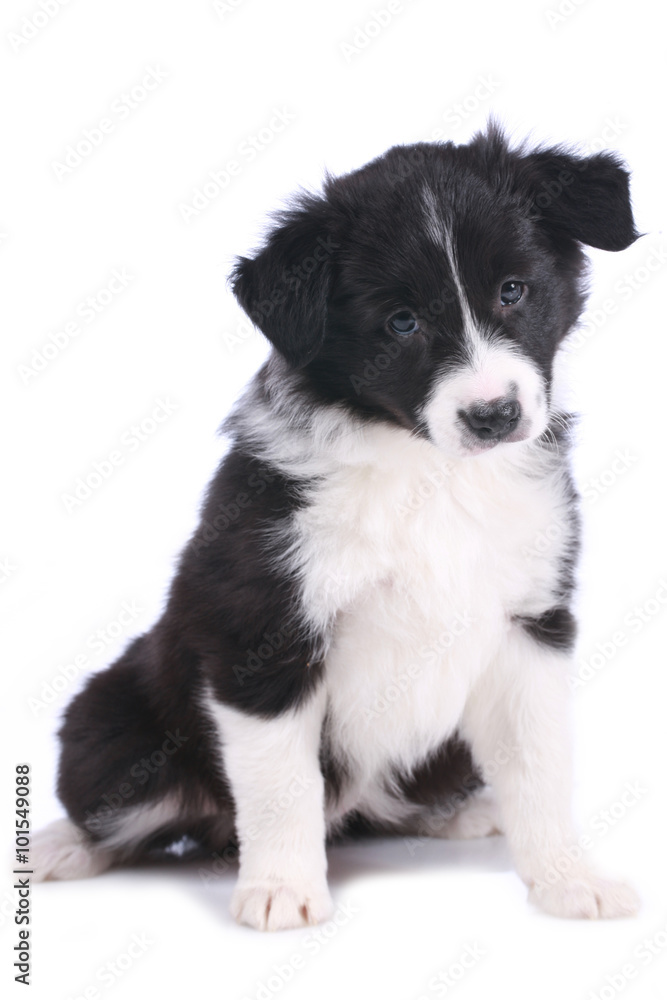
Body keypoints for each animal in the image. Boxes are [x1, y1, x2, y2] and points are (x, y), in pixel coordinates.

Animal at [35, 123, 640, 928]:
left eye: (513, 291)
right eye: (401, 322)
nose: (494, 415)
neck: (428, 471)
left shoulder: (530, 621)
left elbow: (540, 764)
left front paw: (568, 878)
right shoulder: (261, 634)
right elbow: (282, 782)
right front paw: (282, 890)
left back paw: (462, 812)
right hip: (107, 722)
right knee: (121, 809)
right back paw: (58, 847)